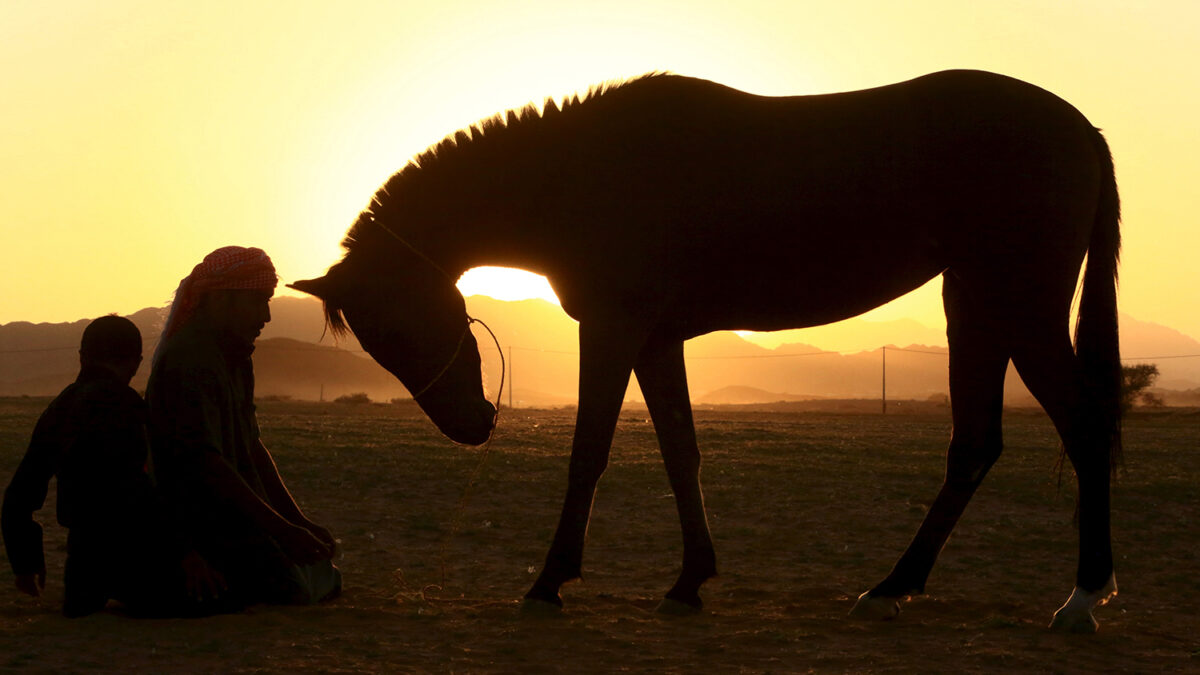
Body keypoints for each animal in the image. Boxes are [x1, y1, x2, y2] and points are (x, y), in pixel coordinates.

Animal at [292, 69, 1123, 629]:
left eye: (398, 328)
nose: (473, 424)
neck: (581, 174)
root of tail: (1081, 129)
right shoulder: (657, 338)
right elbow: (679, 451)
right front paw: (690, 580)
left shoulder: (614, 327)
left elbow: (589, 452)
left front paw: (549, 581)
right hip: (976, 307)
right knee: (977, 443)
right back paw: (894, 585)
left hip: (1017, 306)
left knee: (1081, 428)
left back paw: (1080, 597)